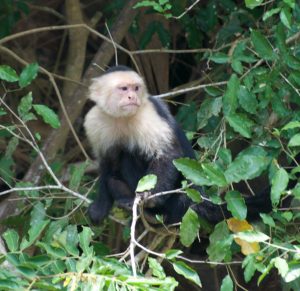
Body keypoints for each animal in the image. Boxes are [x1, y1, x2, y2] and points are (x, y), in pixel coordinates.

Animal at [84, 66, 270, 226]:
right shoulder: (94, 121)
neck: (122, 118)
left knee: (130, 155)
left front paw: (150, 197)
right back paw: (127, 202)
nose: (132, 97)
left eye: (136, 88)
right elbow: (107, 163)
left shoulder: (147, 114)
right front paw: (100, 207)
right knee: (115, 170)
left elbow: (169, 154)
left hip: (182, 201)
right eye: (123, 89)